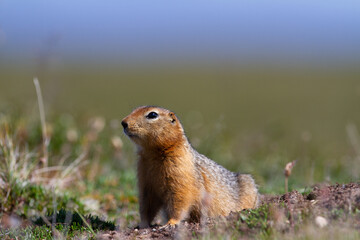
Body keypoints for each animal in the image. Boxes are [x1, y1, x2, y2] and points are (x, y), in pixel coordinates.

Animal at [121, 106, 258, 228]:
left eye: (152, 115)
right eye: (134, 110)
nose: (123, 123)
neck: (153, 154)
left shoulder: (180, 171)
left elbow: (180, 198)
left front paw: (171, 223)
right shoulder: (144, 177)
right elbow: (146, 203)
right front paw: (142, 224)